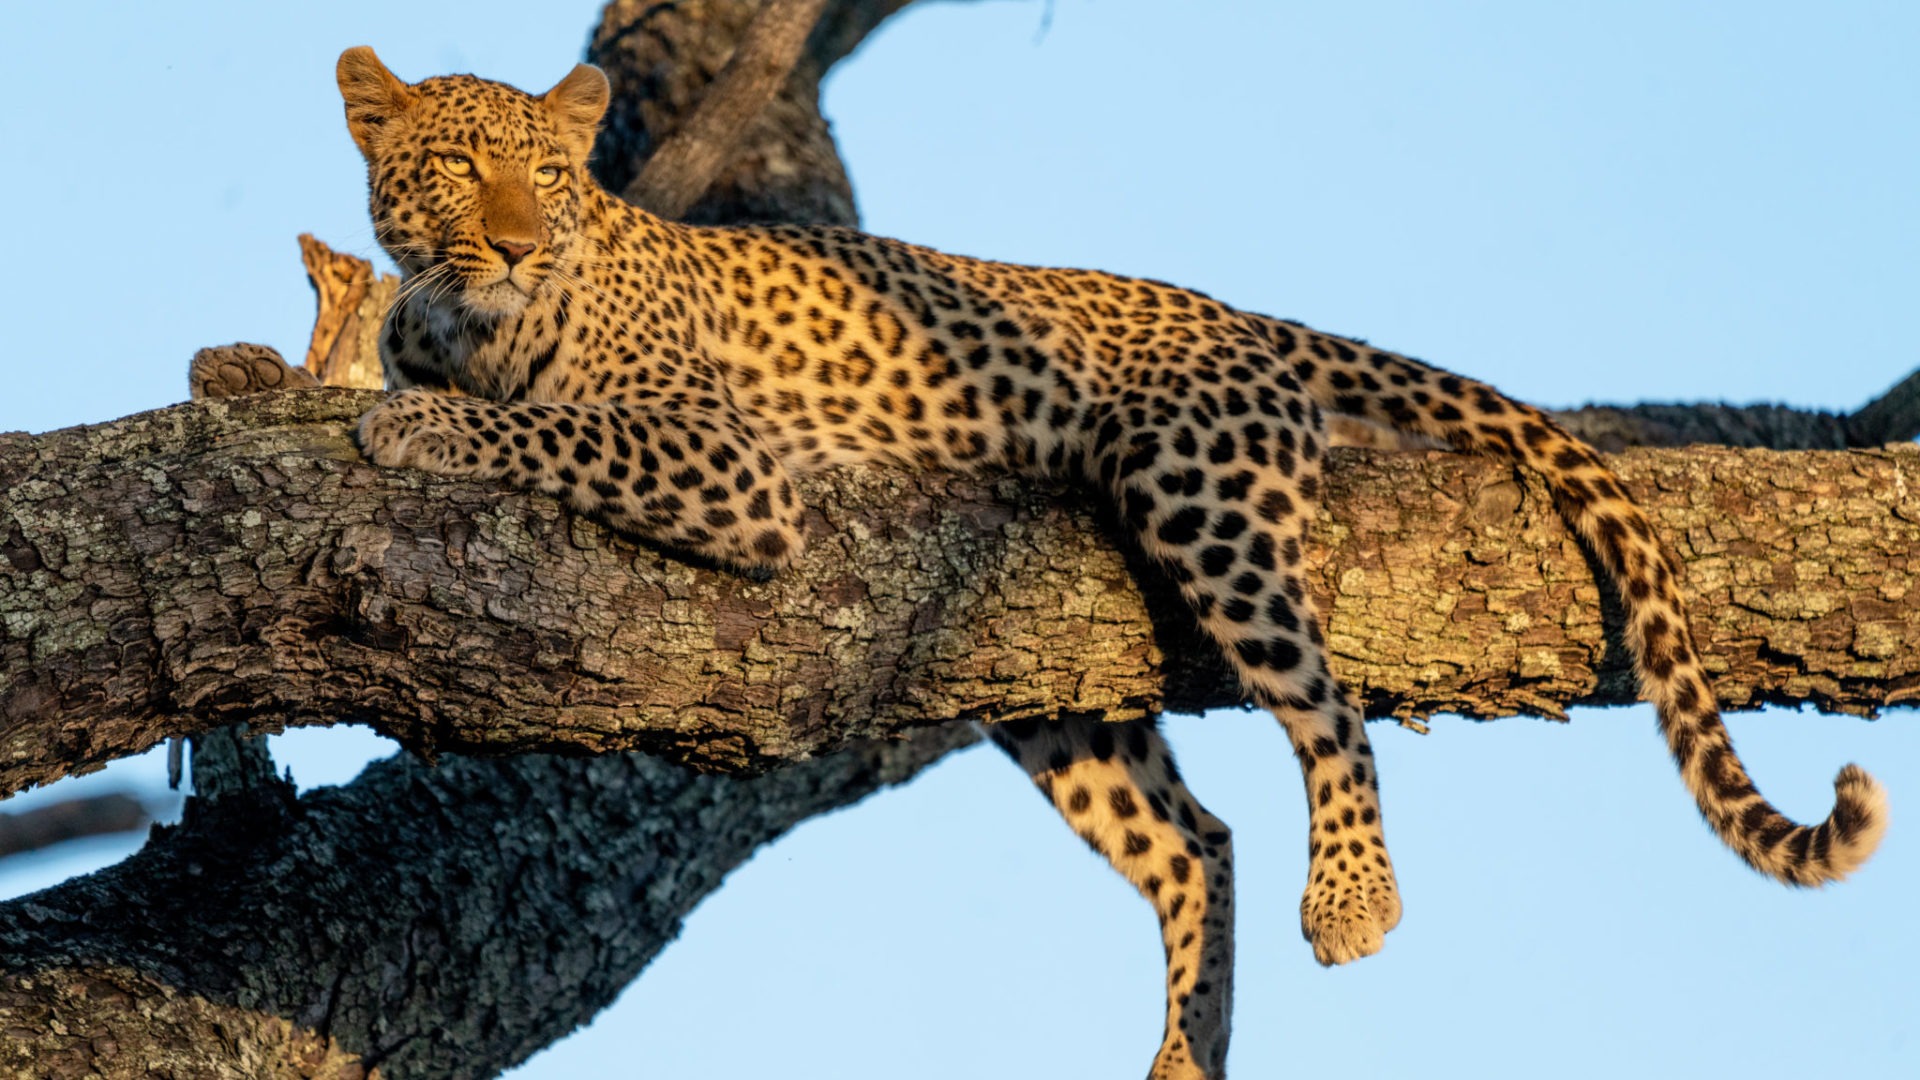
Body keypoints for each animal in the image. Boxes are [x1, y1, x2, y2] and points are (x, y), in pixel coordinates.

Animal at [335, 47, 1888, 1080]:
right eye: (458, 165)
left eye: (549, 173)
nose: (515, 243)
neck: (473, 315)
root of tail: (1242, 313)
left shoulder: (729, 465)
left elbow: (551, 424)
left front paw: (420, 428)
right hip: (1044, 686)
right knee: (1195, 837)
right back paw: (1184, 1060)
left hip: (1196, 487)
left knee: (1328, 711)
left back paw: (1356, 901)